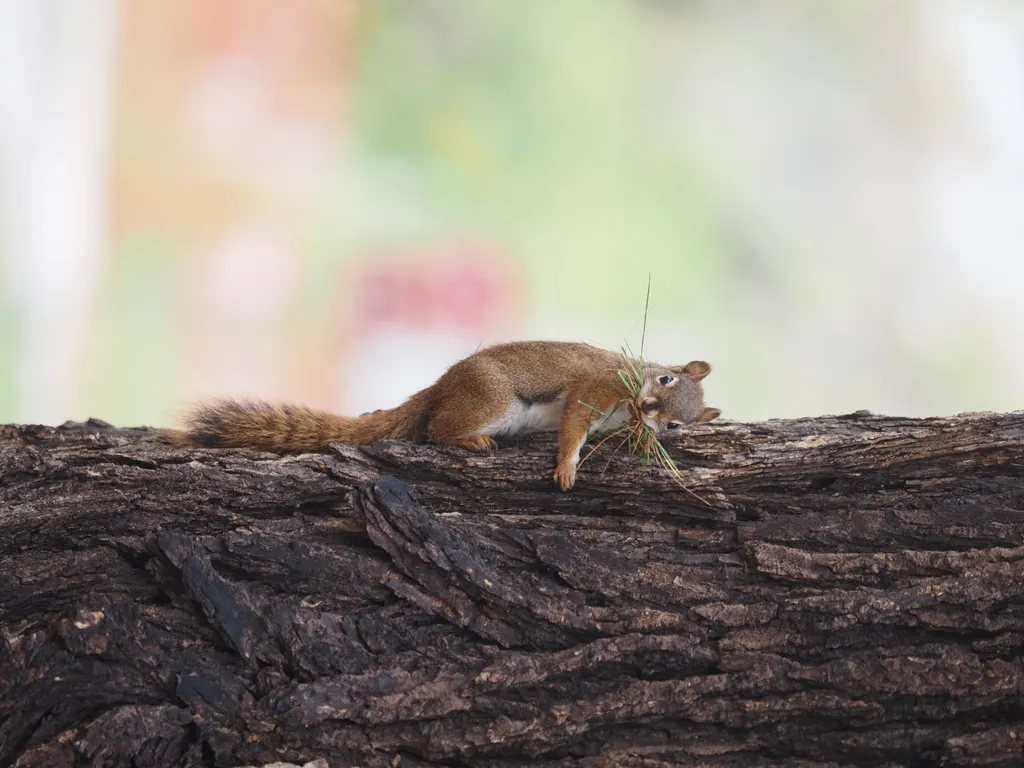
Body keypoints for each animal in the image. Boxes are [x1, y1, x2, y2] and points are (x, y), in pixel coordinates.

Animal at [184, 342, 716, 493]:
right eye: (666, 379)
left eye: (677, 424)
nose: (648, 410)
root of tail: (443, 384)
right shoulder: (595, 385)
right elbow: (572, 426)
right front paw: (567, 467)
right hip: (494, 401)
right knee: (436, 428)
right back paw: (470, 440)